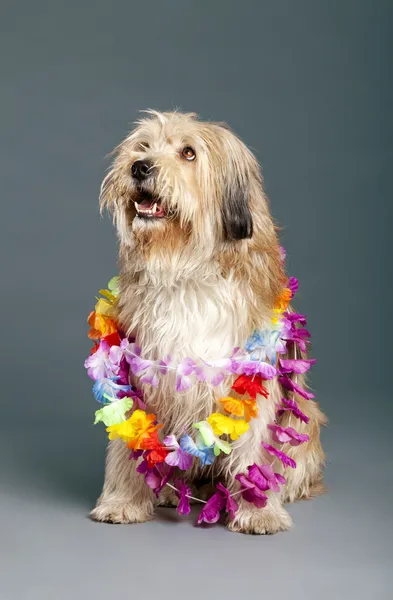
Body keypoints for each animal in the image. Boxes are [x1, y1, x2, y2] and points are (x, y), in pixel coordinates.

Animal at [90, 111, 326, 536]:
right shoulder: (138, 369)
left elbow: (254, 446)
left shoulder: (253, 376)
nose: (139, 167)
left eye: (188, 153)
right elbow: (128, 441)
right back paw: (171, 491)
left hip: (306, 419)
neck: (185, 267)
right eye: (143, 146)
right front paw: (122, 501)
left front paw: (257, 509)